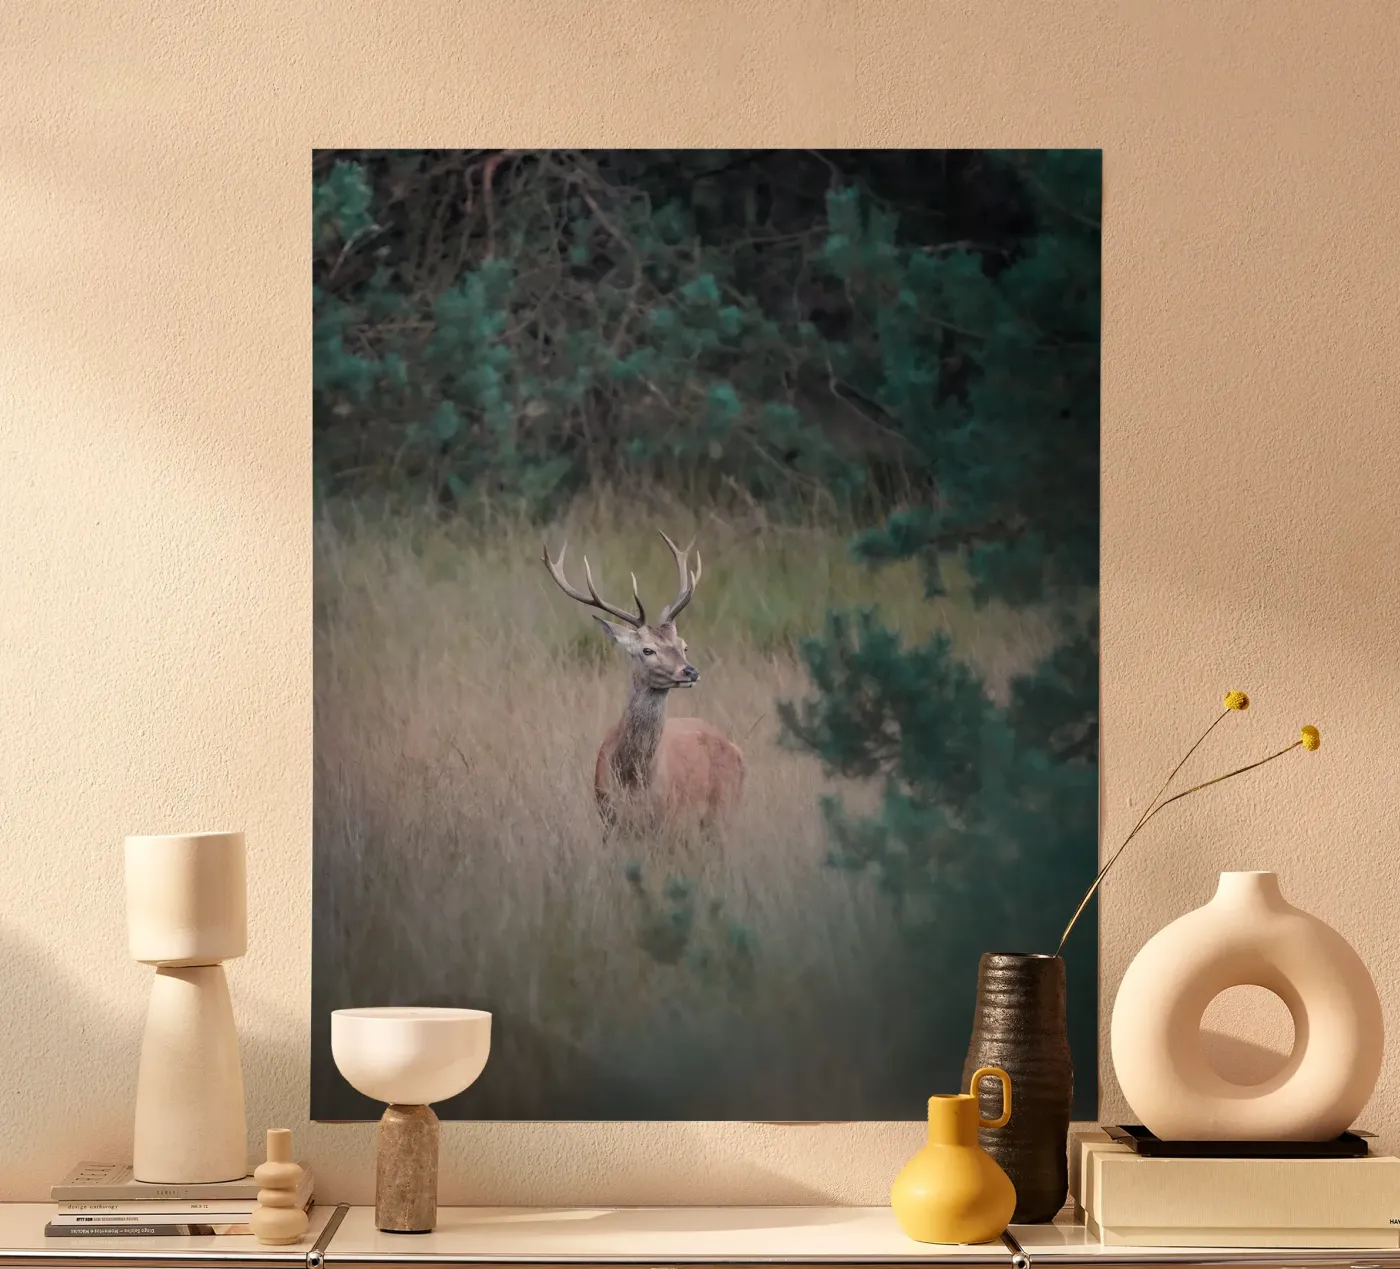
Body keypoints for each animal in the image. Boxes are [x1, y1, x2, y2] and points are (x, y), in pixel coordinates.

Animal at [542, 530, 745, 842]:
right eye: (647, 650)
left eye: (684, 646)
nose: (691, 671)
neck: (632, 781)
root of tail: (735, 748)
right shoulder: (609, 819)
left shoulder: (669, 821)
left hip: (723, 813)